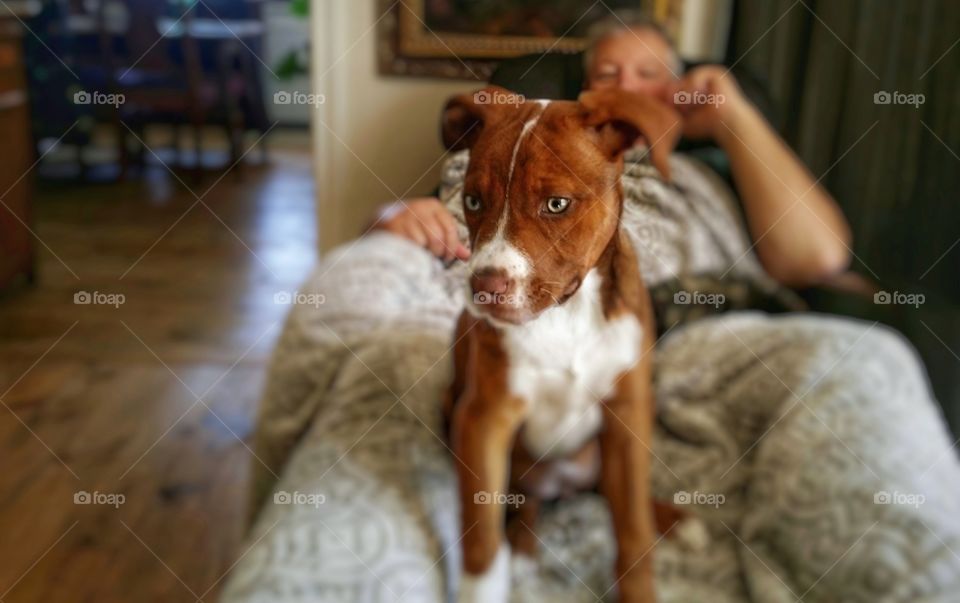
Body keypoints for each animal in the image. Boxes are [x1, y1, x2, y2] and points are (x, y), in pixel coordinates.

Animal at [442, 86, 688, 603]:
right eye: (472, 200)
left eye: (556, 204)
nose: (484, 288)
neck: (565, 315)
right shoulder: (484, 417)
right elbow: (481, 530)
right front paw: (484, 584)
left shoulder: (627, 412)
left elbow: (632, 527)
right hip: (455, 414)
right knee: (524, 503)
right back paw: (523, 544)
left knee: (616, 495)